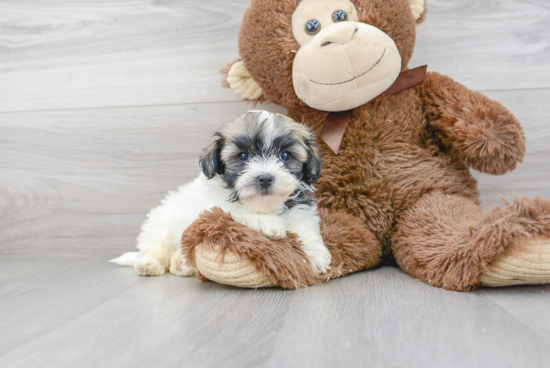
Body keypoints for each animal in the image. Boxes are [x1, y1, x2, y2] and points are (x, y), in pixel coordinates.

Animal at [110, 110, 330, 278]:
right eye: (243, 156)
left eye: (285, 155)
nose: (265, 178)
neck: (262, 205)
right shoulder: (208, 211)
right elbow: (233, 213)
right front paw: (267, 223)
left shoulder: (300, 209)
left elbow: (304, 226)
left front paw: (315, 256)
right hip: (160, 226)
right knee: (155, 249)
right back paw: (149, 264)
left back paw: (182, 264)